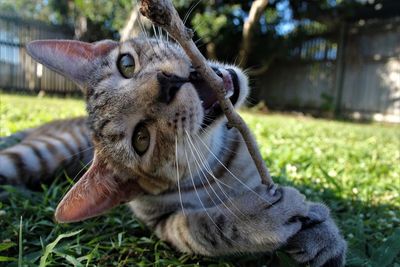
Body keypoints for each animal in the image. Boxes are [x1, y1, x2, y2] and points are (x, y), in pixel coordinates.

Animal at [0, 38, 346, 267]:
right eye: (141, 139)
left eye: (126, 64)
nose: (166, 84)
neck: (216, 164)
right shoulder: (163, 223)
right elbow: (205, 228)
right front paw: (258, 216)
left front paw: (323, 232)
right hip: (38, 154)